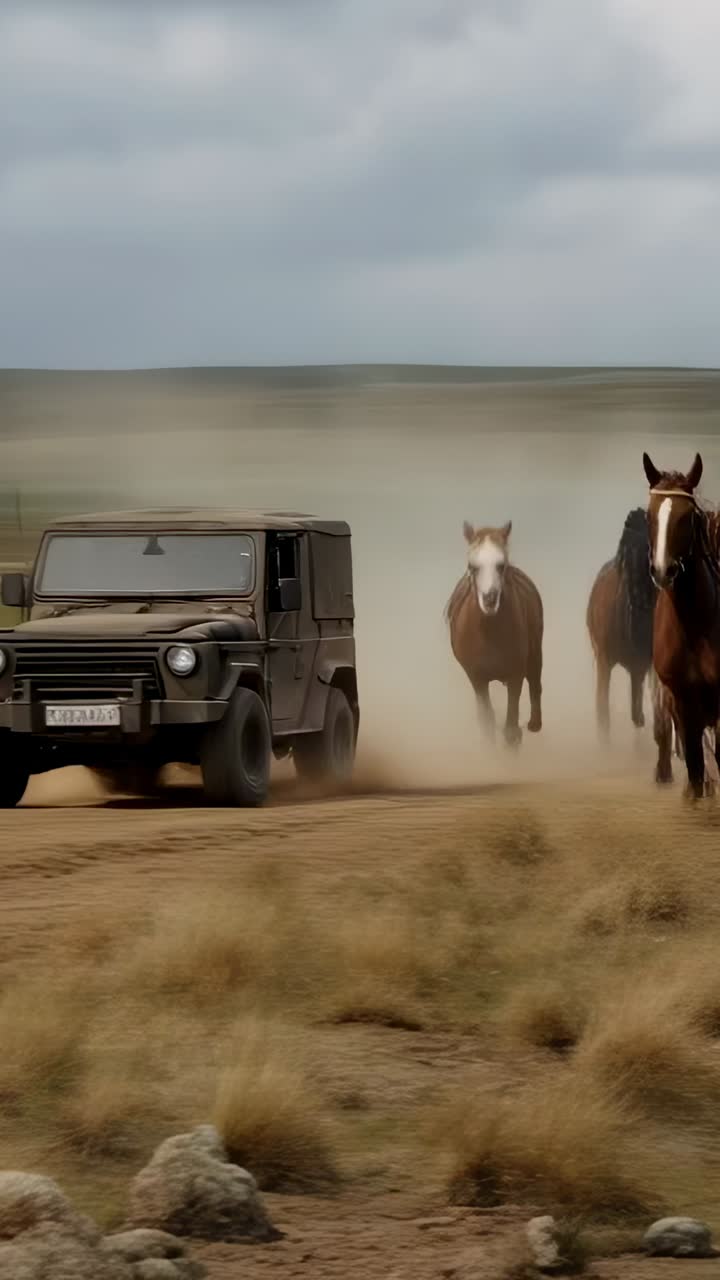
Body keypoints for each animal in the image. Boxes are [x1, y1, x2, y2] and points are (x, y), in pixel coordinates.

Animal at [445, 520, 543, 748]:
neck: (489, 634)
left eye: (501, 565)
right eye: (472, 566)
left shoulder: (516, 673)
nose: (489, 599)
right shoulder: (477, 678)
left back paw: (535, 724)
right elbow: (487, 721)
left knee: (535, 682)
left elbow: (511, 729)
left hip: (535, 655)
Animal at [586, 507, 656, 739]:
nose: (640, 599)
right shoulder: (604, 661)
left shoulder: (644, 666)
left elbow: (640, 716)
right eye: (625, 549)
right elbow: (603, 715)